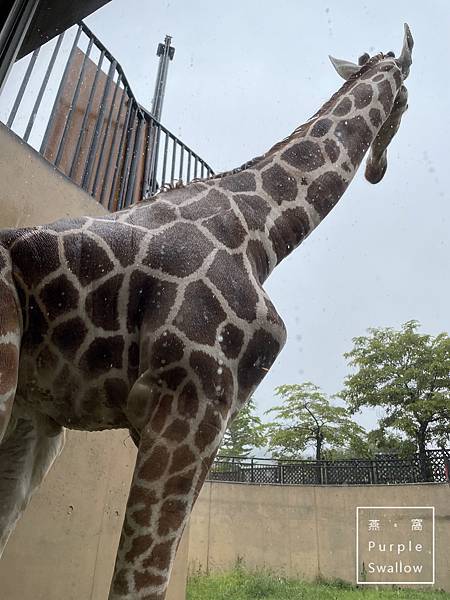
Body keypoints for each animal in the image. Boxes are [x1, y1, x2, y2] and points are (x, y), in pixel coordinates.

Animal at [0, 24, 414, 600]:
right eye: (406, 98)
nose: (379, 169)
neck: (258, 232)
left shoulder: (204, 419)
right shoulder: (192, 399)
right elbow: (141, 582)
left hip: (34, 413)